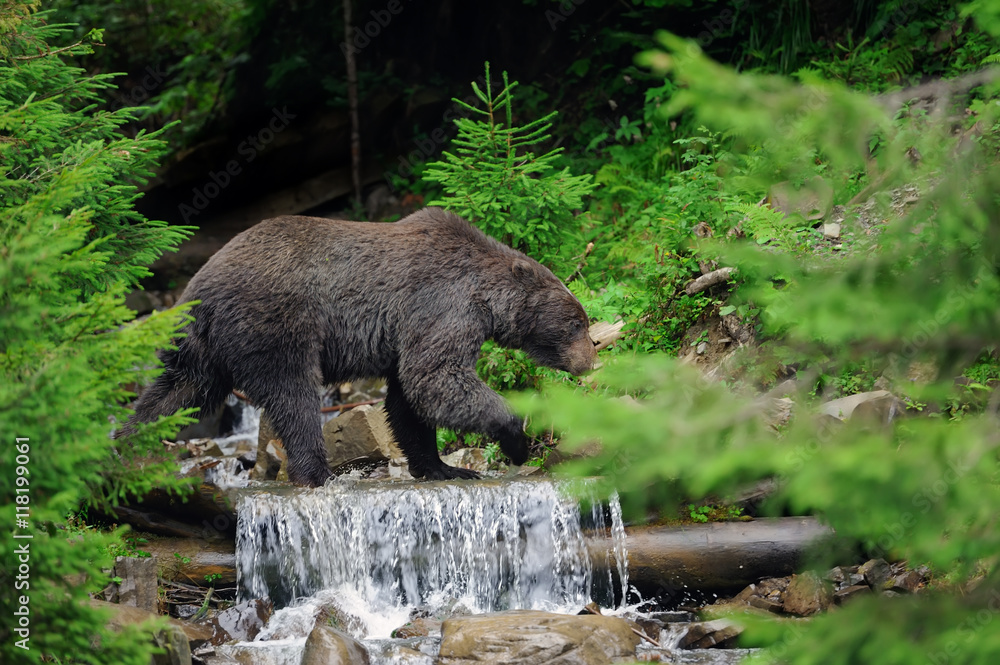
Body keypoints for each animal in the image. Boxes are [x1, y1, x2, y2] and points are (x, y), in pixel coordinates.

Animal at [124, 205, 592, 486]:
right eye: (577, 323)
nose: (591, 360)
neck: (486, 297)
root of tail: (200, 289)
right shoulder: (442, 305)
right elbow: (436, 378)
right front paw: (516, 442)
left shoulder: (405, 334)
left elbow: (408, 400)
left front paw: (441, 466)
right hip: (275, 324)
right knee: (294, 396)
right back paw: (317, 472)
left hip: (201, 346)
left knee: (176, 392)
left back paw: (122, 443)